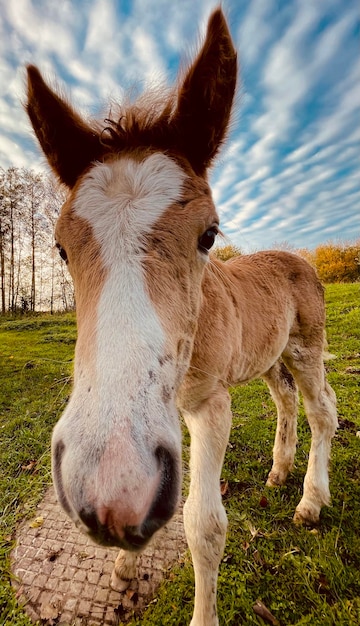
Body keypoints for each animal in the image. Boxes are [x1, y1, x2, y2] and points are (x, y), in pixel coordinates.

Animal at [26, 9, 338, 624]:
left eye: (209, 235)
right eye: (61, 249)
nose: (111, 491)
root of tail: (298, 258)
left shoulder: (211, 406)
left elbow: (204, 526)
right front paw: (124, 564)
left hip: (306, 347)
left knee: (323, 411)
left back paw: (311, 502)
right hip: (270, 357)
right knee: (286, 401)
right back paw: (279, 472)